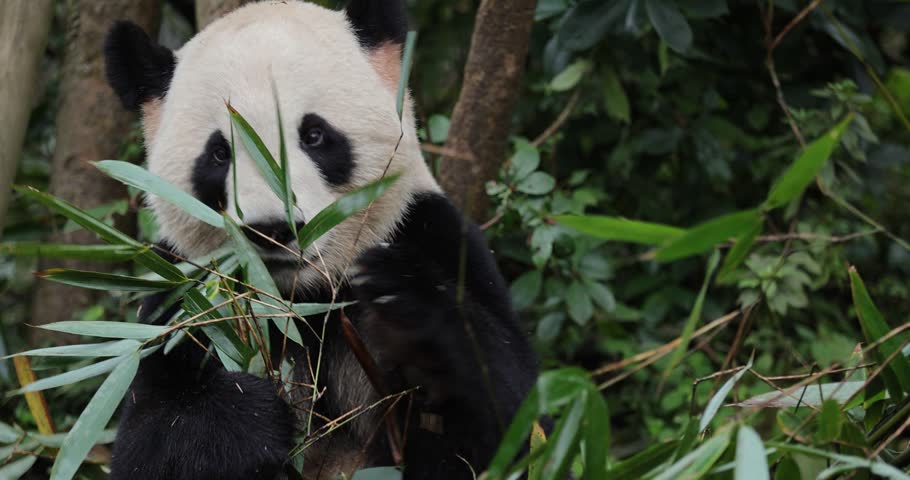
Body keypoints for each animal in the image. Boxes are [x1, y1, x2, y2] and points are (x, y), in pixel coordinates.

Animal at [101, 1, 538, 479]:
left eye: (313, 136)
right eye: (219, 154)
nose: (272, 228)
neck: (300, 300)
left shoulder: (433, 235)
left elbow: (512, 424)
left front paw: (407, 307)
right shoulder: (180, 304)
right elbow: (151, 439)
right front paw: (246, 416)